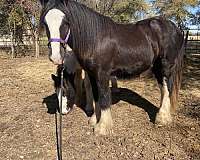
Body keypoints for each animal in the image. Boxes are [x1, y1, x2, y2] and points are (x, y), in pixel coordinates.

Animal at [39, 0, 185, 135]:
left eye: (65, 22)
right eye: (45, 23)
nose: (55, 56)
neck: (95, 39)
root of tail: (175, 27)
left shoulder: (102, 74)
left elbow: (103, 97)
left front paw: (102, 127)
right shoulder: (91, 73)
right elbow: (96, 95)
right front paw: (94, 119)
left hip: (165, 65)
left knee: (167, 87)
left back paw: (162, 118)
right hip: (156, 66)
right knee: (163, 88)